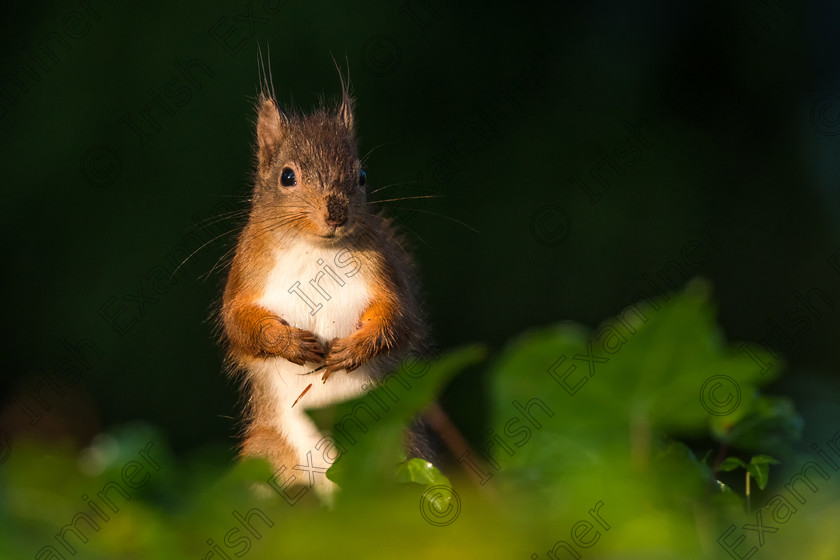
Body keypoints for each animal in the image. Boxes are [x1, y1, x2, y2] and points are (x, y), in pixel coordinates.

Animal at [220, 77, 430, 494]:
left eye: (362, 176)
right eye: (287, 176)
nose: (336, 212)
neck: (314, 248)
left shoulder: (384, 272)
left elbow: (397, 320)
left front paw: (352, 350)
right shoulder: (246, 274)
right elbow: (237, 323)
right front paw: (289, 343)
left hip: (401, 453)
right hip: (260, 462)